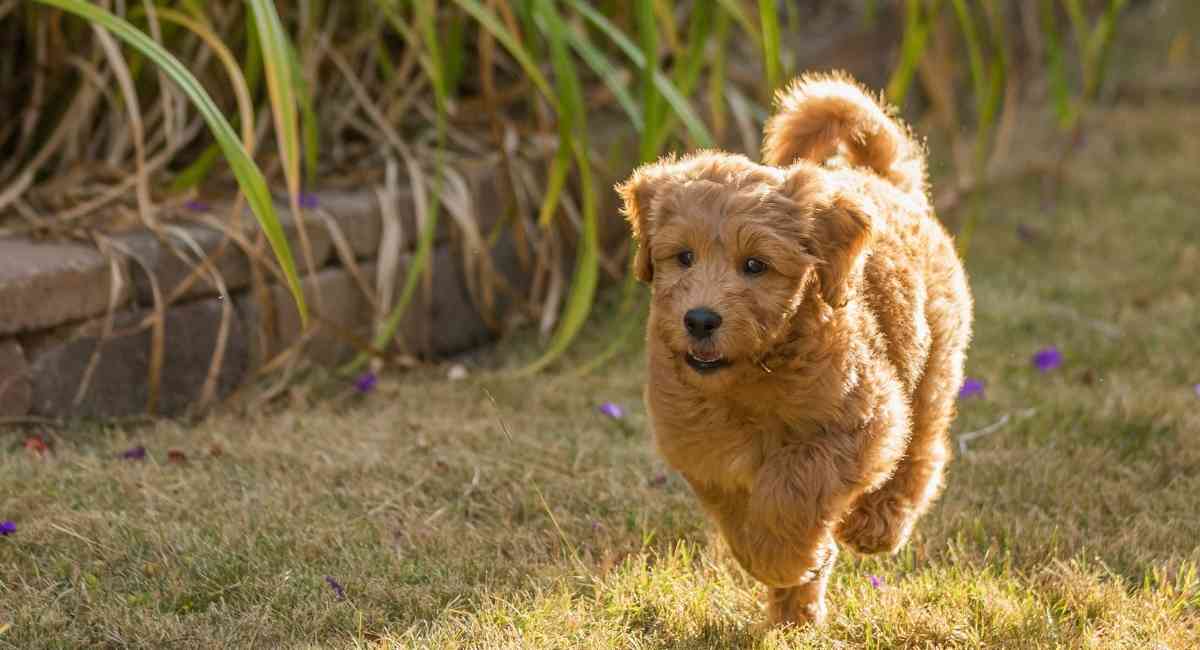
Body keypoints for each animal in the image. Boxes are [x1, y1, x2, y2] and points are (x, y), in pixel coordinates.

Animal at [619, 72, 974, 628]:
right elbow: (745, 524)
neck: (752, 377)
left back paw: (875, 525)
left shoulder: (859, 423)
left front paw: (790, 560)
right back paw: (795, 614)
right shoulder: (704, 451)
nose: (700, 320)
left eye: (755, 265)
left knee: (922, 450)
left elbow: (795, 485)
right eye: (683, 257)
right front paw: (791, 571)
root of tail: (884, 182)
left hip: (931, 366)